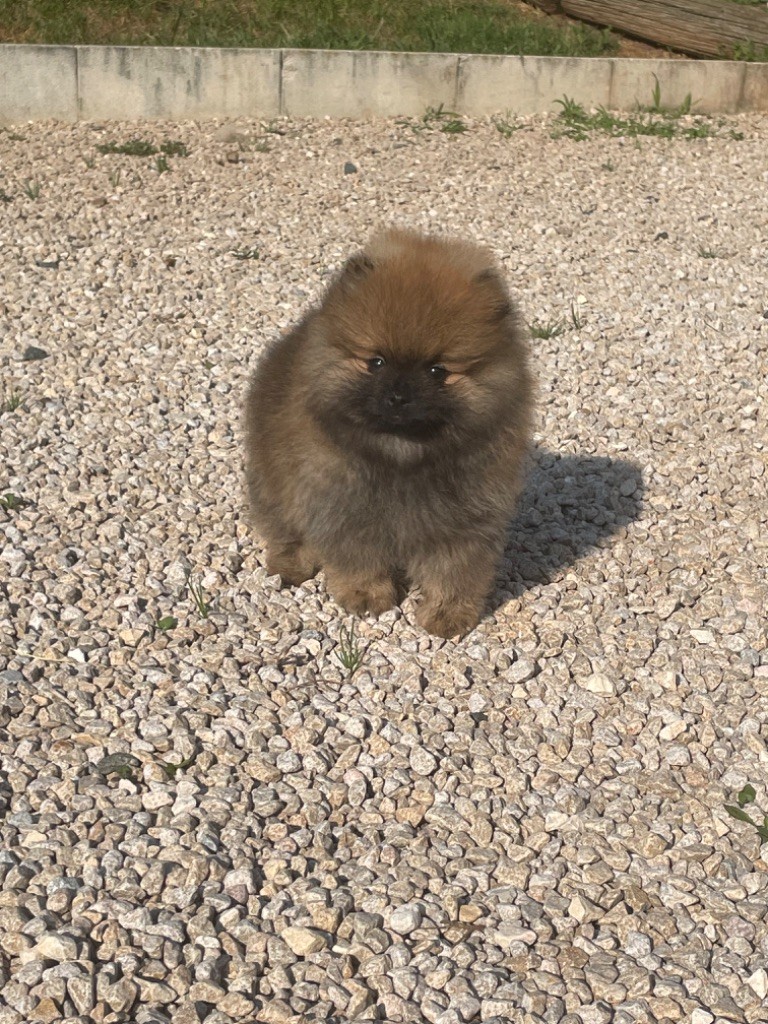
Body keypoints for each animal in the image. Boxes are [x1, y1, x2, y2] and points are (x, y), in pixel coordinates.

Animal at [246, 228, 536, 634]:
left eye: (437, 371)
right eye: (376, 362)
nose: (398, 396)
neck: (402, 456)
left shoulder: (465, 519)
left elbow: (454, 572)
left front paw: (447, 615)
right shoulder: (346, 510)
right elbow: (359, 560)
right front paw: (368, 596)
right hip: (273, 479)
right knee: (284, 526)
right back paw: (291, 565)